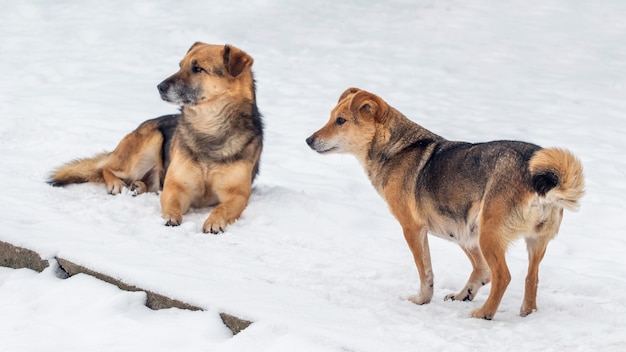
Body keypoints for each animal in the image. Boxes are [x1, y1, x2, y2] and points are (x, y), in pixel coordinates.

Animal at [49, 42, 260, 234]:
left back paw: (138, 186)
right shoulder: (176, 187)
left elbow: (222, 207)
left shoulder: (237, 195)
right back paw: (117, 184)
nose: (160, 87)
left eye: (197, 69)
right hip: (149, 144)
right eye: (180, 65)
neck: (208, 129)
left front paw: (214, 221)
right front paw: (171, 216)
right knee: (107, 168)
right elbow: (172, 201)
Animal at [304, 88, 584, 320]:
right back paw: (526, 312)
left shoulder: (414, 229)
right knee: (530, 277)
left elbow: (426, 272)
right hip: (531, 241)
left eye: (341, 121)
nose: (308, 140)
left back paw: (484, 314)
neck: (395, 149)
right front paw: (464, 294)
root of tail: (541, 178)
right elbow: (480, 270)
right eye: (331, 117)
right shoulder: (462, 230)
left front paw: (422, 300)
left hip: (490, 234)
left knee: (504, 276)